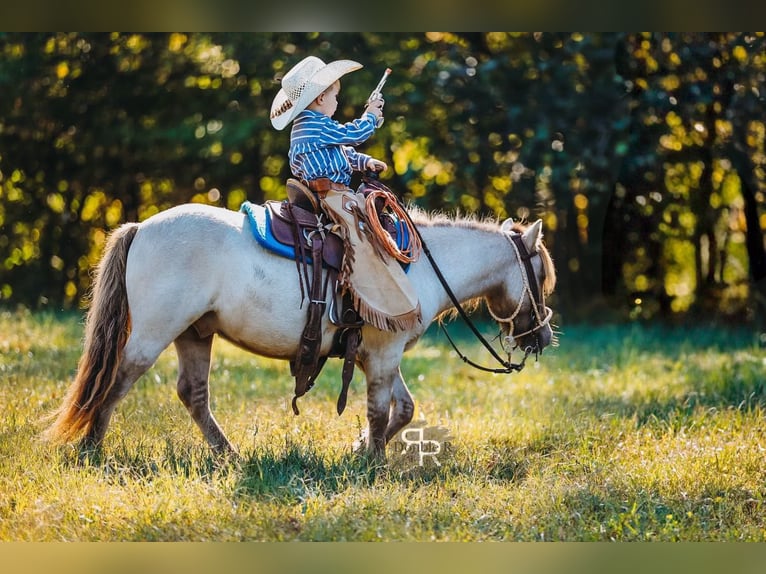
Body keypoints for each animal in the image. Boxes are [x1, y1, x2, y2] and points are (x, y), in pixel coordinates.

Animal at [43, 201, 556, 460]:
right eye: (540, 276)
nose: (543, 337)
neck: (417, 268)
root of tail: (141, 226)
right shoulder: (384, 354)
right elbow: (379, 411)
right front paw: (371, 463)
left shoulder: (378, 355)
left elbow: (404, 409)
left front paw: (359, 450)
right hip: (154, 332)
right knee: (116, 381)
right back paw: (91, 449)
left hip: (195, 333)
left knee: (193, 394)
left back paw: (229, 454)